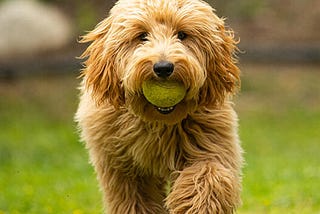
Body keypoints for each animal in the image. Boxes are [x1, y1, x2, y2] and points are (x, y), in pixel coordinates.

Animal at [77, 0, 242, 212]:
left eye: (182, 35)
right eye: (142, 36)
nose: (163, 68)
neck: (158, 122)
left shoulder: (211, 142)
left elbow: (208, 175)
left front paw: (195, 206)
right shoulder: (123, 169)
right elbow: (134, 201)